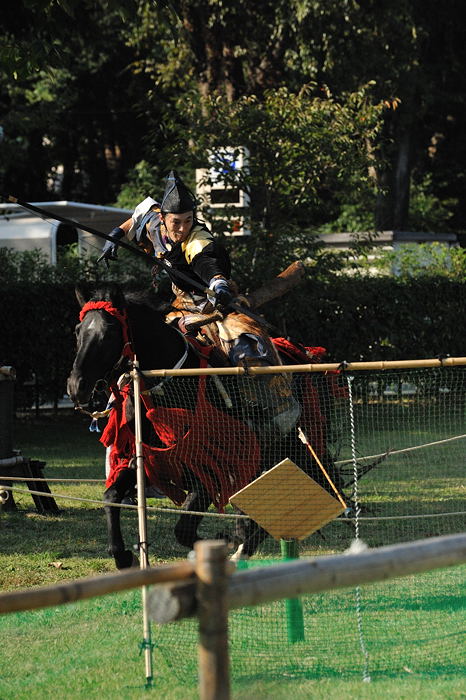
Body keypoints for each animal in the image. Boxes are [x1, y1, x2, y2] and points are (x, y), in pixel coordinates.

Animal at [66, 282, 346, 568]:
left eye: (110, 332)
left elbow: (184, 530)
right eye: (78, 331)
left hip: (295, 448)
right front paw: (124, 556)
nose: (77, 386)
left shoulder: (208, 469)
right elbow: (111, 498)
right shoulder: (148, 461)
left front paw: (226, 541)